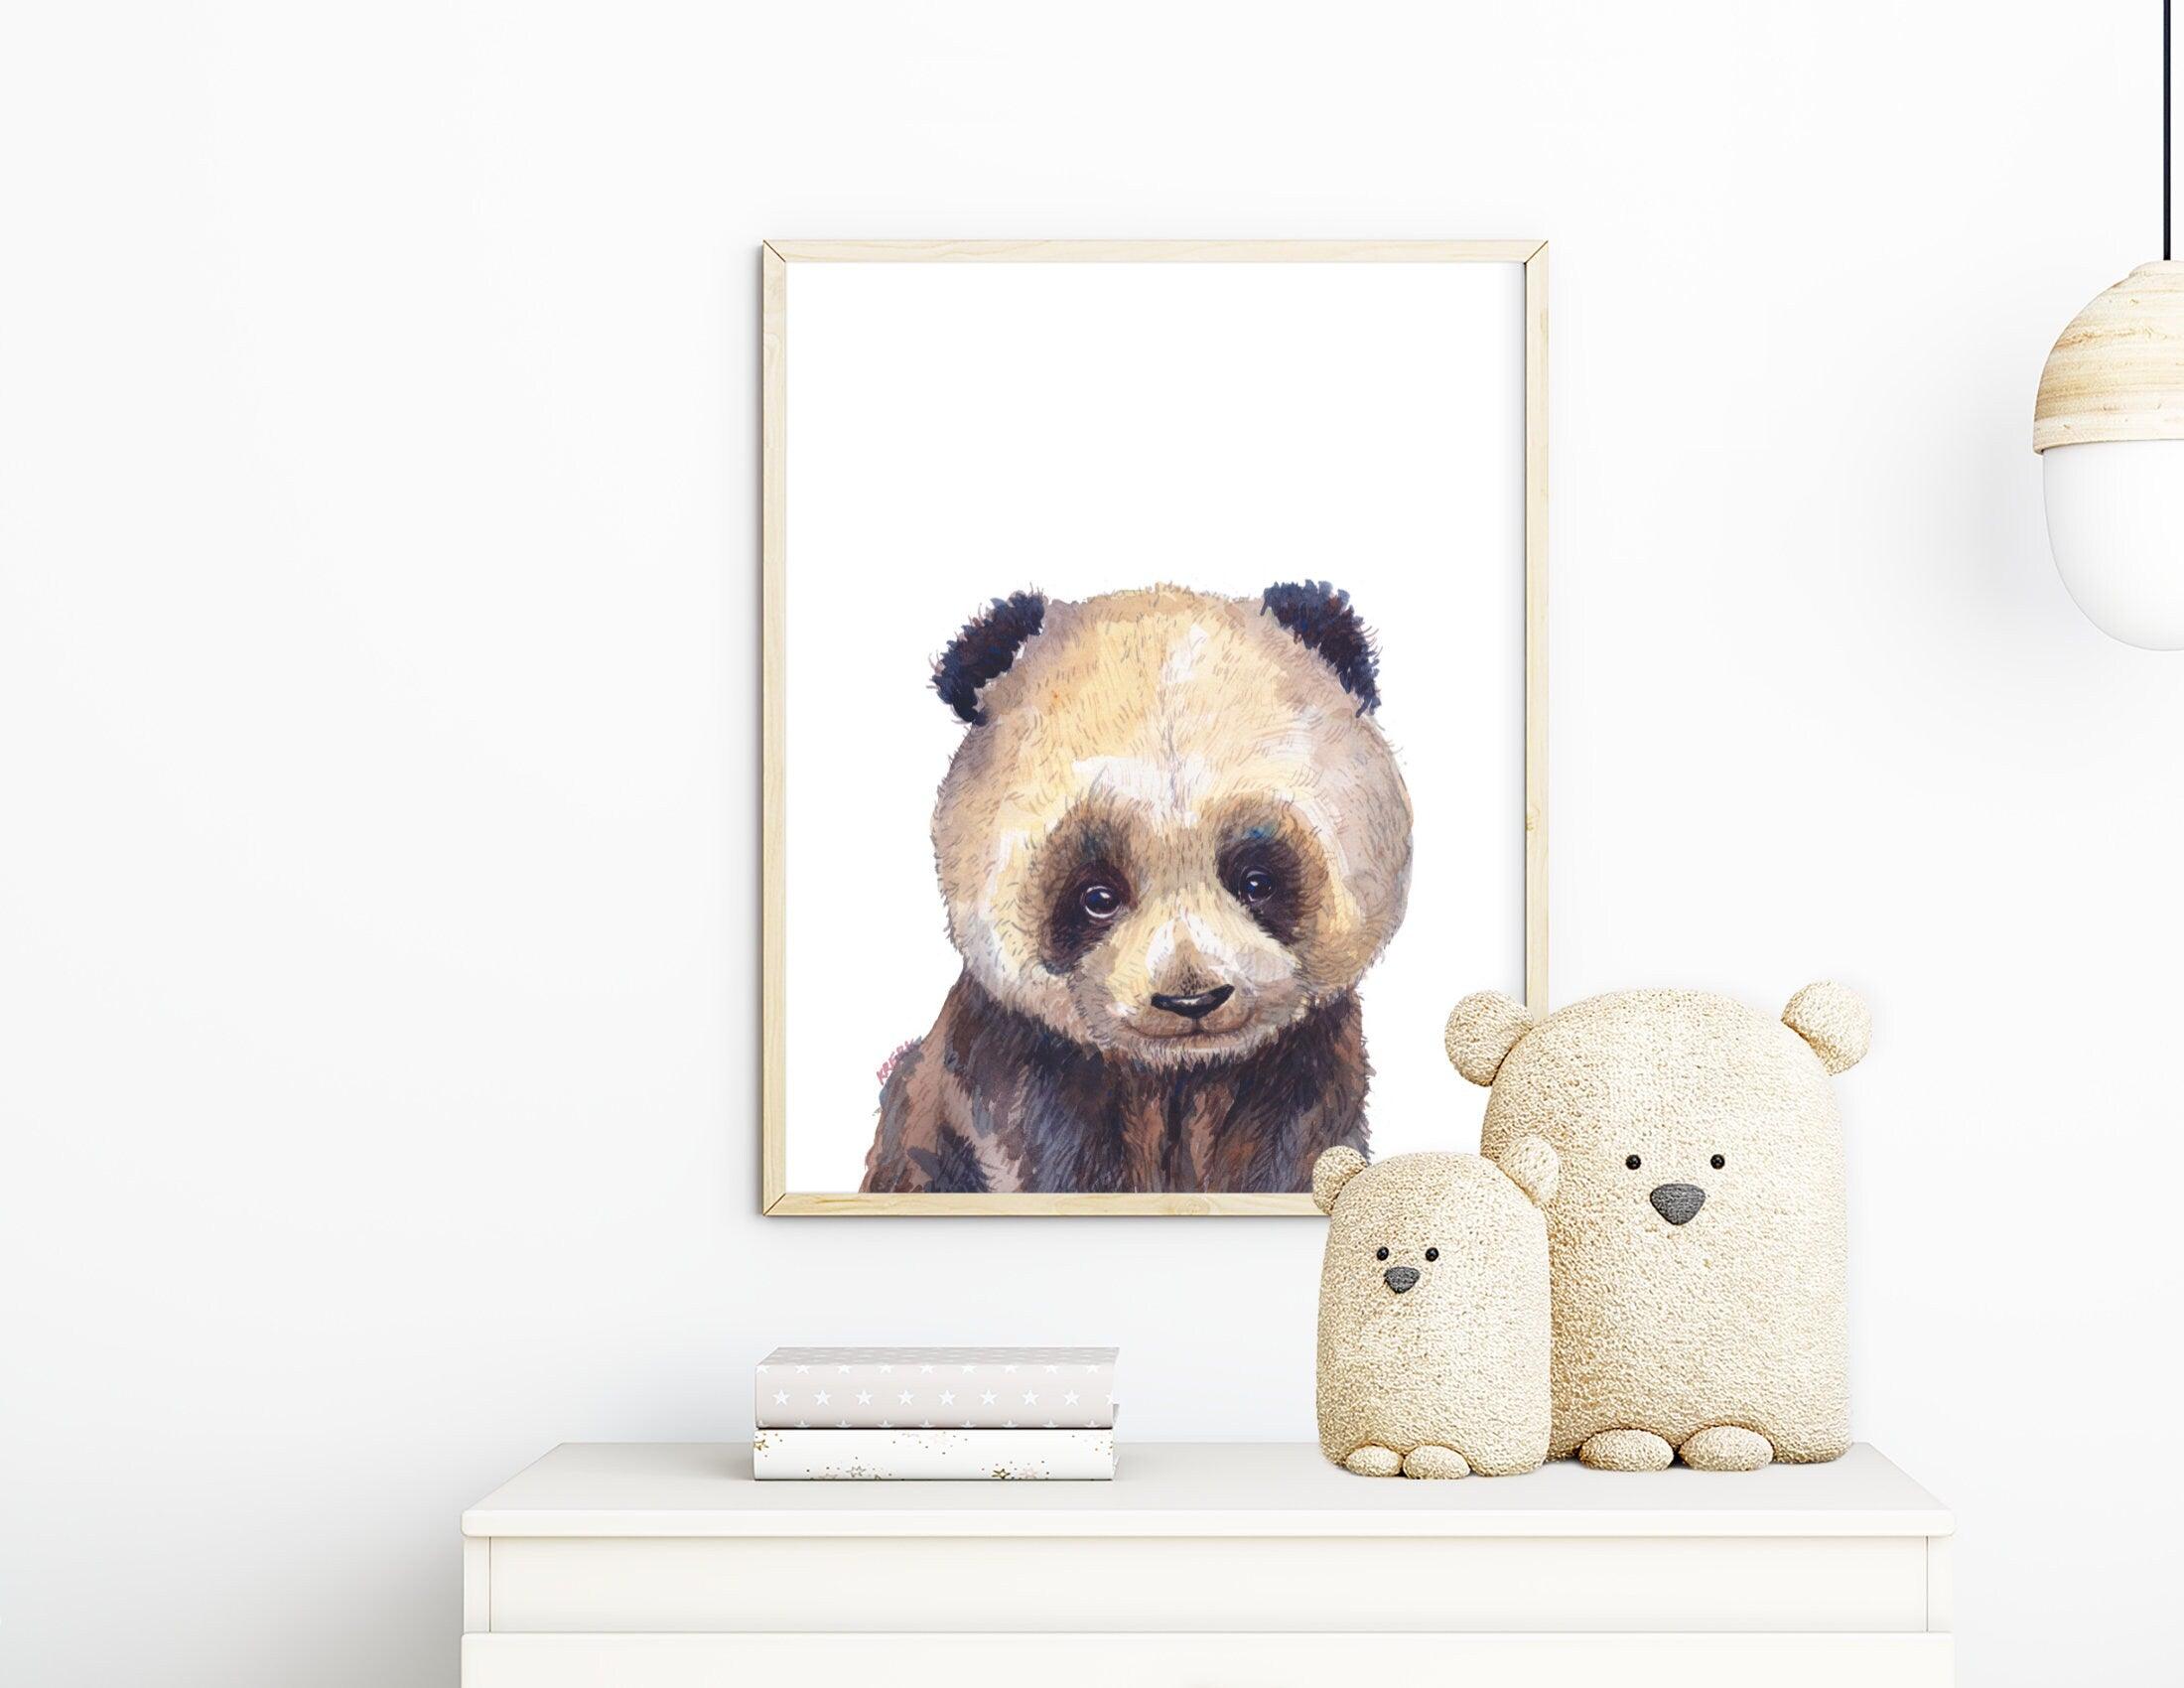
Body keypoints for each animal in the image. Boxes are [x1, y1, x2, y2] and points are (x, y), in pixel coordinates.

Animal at [862, 582, 1414, 1195]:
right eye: (1097, 896)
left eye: (1256, 881)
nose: (1192, 1000)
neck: (1180, 1077)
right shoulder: (1019, 1076)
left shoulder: (1303, 1071)